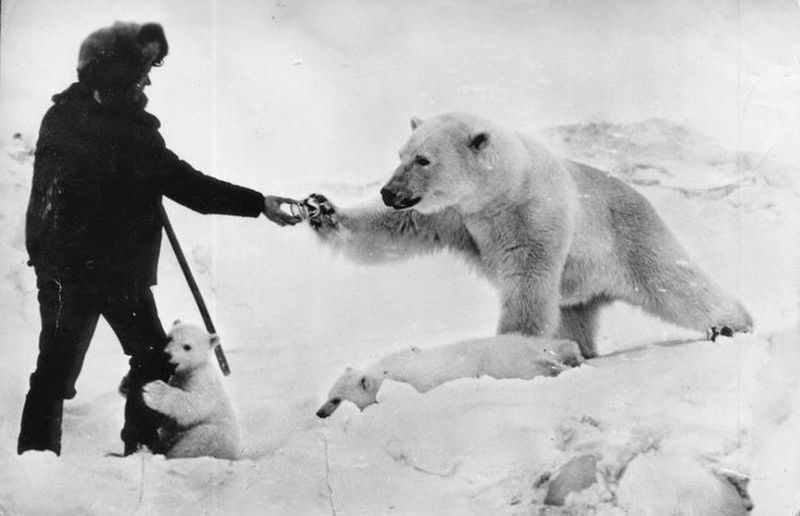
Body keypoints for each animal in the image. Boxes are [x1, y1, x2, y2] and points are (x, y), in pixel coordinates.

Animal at [304, 112, 752, 358]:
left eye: (423, 159)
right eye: (401, 154)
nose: (388, 191)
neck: (499, 192)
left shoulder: (533, 215)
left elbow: (528, 281)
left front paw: (509, 348)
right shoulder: (454, 216)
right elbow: (394, 229)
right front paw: (321, 209)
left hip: (630, 237)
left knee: (673, 283)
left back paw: (732, 325)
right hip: (580, 284)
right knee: (574, 315)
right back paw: (582, 350)